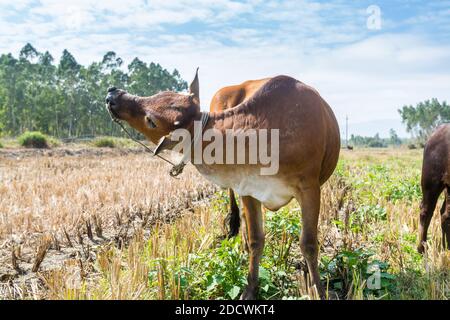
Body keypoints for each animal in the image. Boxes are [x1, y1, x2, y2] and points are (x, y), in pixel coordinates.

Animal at [105, 71, 340, 298]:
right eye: (158, 94)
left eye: (151, 121)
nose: (113, 94)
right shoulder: (249, 188)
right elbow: (256, 240)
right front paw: (250, 289)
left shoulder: (310, 188)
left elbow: (308, 243)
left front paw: (318, 289)